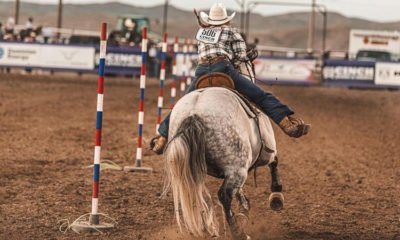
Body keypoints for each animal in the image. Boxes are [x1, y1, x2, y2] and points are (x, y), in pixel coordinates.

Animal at [161, 51, 282, 239]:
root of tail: (193, 114)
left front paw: (245, 207)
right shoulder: (267, 151)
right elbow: (275, 162)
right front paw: (276, 197)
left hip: (196, 168)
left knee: (197, 194)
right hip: (237, 168)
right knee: (224, 196)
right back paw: (238, 233)